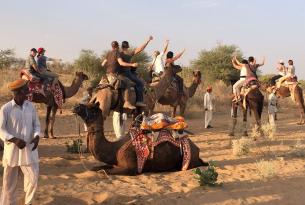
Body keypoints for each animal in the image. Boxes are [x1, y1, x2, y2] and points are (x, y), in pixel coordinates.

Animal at [72, 103, 208, 175]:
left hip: (188, 160)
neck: (114, 149)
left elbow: (105, 172)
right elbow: (97, 168)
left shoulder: (131, 168)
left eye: (92, 108)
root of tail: (197, 150)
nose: (76, 106)